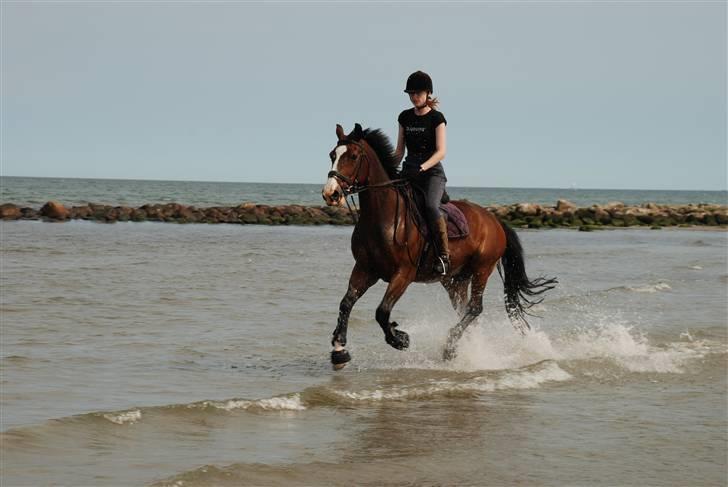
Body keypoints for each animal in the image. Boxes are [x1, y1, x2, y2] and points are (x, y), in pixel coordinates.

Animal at [322, 123, 556, 370]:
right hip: (455, 280)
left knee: (475, 308)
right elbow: (346, 303)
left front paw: (400, 339)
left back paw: (449, 347)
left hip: (482, 269)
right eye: (332, 155)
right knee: (465, 311)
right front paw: (339, 351)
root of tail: (495, 220)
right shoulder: (365, 269)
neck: (383, 218)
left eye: (353, 156)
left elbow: (382, 312)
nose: (330, 194)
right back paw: (466, 350)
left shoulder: (403, 274)